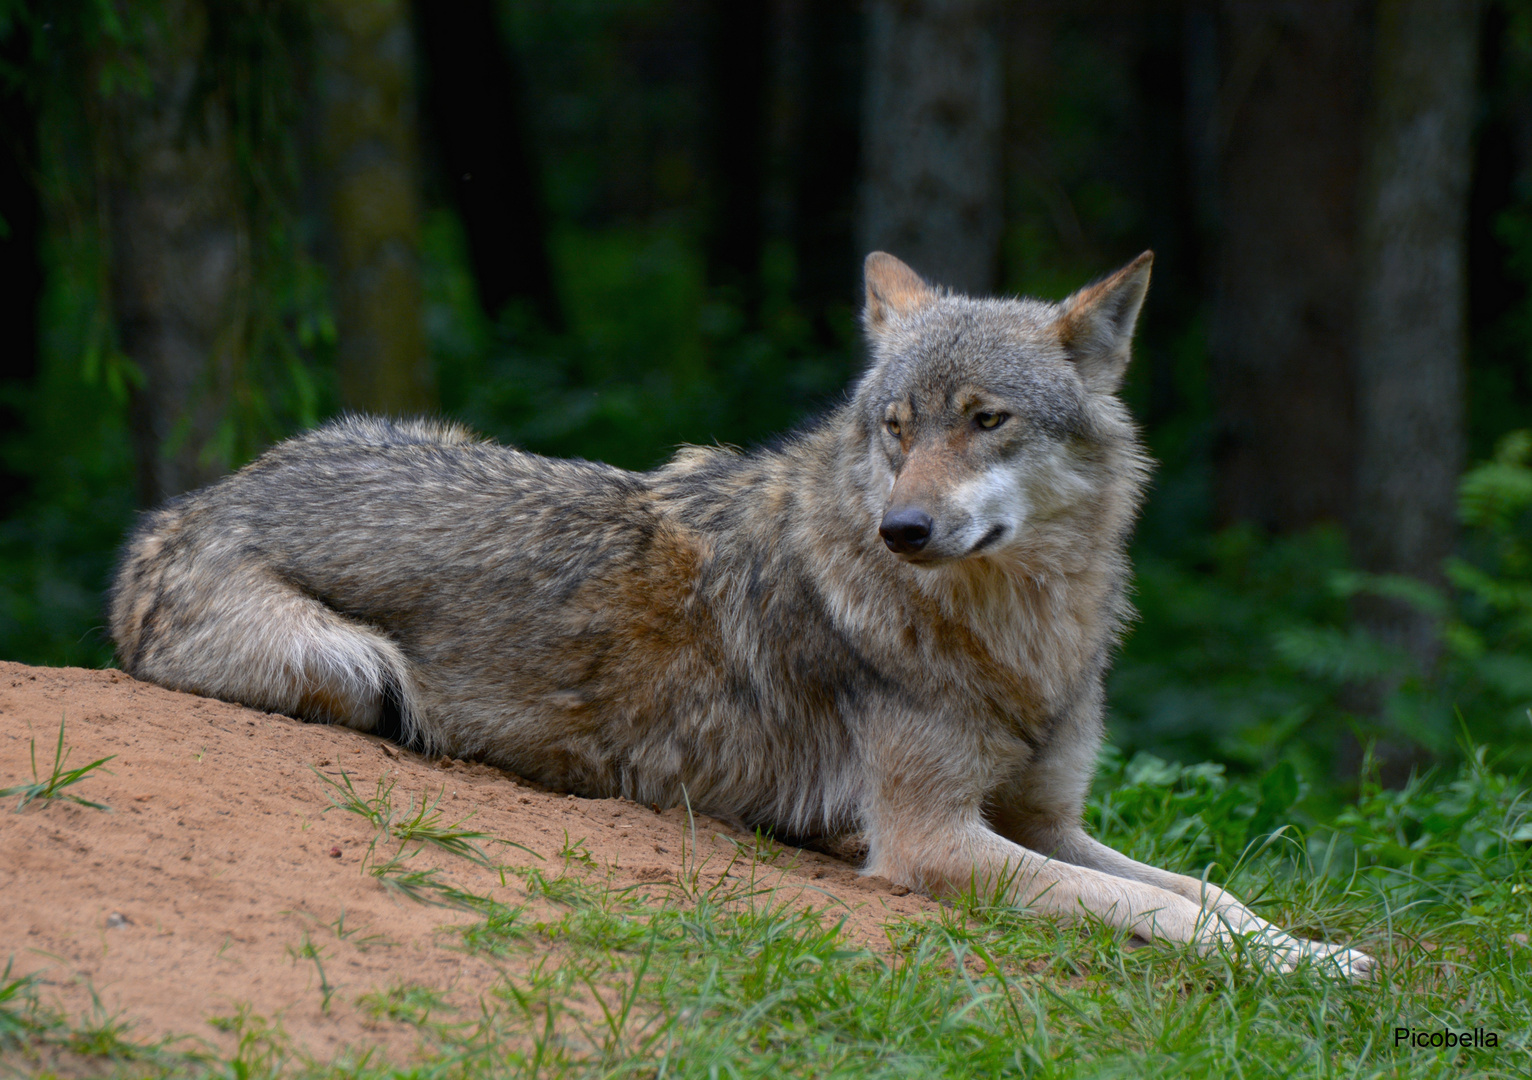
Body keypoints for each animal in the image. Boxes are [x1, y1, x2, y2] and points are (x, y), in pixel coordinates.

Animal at [111, 251, 1378, 980]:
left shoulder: (1044, 818)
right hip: (356, 666)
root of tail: (183, 509)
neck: (1012, 633)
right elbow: (1150, 910)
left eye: (986, 420)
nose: (902, 529)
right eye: (895, 427)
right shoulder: (934, 841)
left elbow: (1204, 889)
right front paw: (1303, 971)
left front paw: (1318, 952)